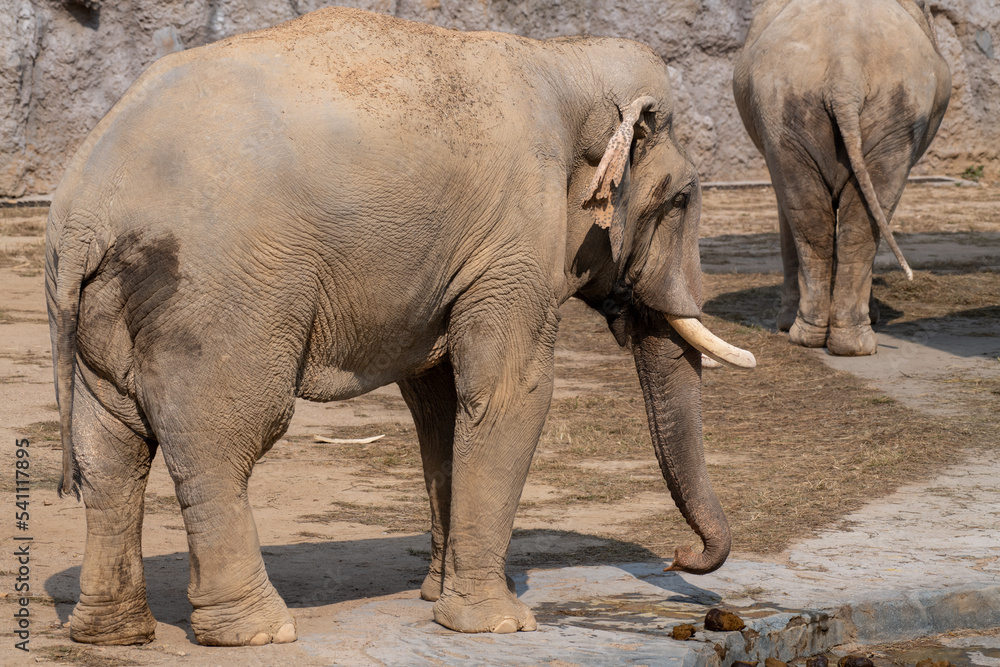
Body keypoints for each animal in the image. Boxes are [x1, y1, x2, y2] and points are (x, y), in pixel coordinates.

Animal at [46, 7, 755, 647]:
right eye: (682, 200)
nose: (679, 557)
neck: (565, 59)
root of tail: (84, 208)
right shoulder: (515, 238)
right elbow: (510, 393)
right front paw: (498, 623)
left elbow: (441, 403)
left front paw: (438, 595)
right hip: (221, 295)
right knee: (219, 441)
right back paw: (258, 633)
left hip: (101, 308)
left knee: (109, 450)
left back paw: (112, 634)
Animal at [733, 0, 950, 355]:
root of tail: (844, 70)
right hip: (861, 114)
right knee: (856, 218)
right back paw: (842, 340)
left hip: (797, 111)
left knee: (824, 221)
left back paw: (821, 339)